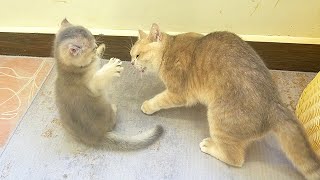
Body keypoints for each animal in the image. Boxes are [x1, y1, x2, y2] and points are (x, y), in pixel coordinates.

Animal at [53, 19, 162, 150]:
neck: (69, 70)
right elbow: (100, 76)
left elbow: (97, 59)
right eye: (92, 48)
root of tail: (98, 136)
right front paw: (111, 67)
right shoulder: (92, 85)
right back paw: (114, 108)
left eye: (94, 45)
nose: (96, 46)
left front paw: (101, 48)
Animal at [130, 23, 320, 179]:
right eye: (131, 55)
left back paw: (210, 146)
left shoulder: (178, 93)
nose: (131, 63)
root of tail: (275, 104)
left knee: (235, 159)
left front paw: (147, 105)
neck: (169, 50)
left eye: (138, 55)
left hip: (217, 118)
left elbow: (159, 100)